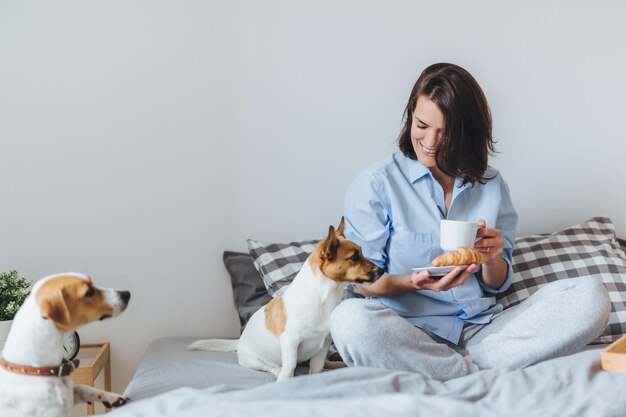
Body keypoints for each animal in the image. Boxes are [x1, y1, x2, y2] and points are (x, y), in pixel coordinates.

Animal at [188, 219, 382, 382]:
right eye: (354, 257)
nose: (382, 271)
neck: (323, 298)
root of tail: (239, 341)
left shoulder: (323, 345)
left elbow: (317, 368)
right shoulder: (290, 342)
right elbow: (290, 367)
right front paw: (285, 381)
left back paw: (336, 364)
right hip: (254, 360)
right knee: (273, 367)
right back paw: (278, 372)